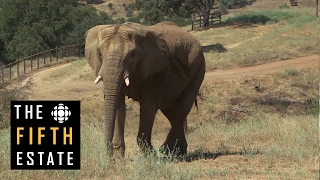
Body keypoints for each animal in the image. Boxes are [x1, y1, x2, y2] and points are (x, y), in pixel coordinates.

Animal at [85, 20, 205, 156]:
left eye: (133, 55)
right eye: (99, 53)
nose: (108, 154)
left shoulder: (154, 71)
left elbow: (148, 107)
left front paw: (150, 155)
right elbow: (119, 106)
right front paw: (118, 157)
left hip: (199, 68)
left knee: (182, 109)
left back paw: (166, 150)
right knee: (171, 113)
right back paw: (178, 152)